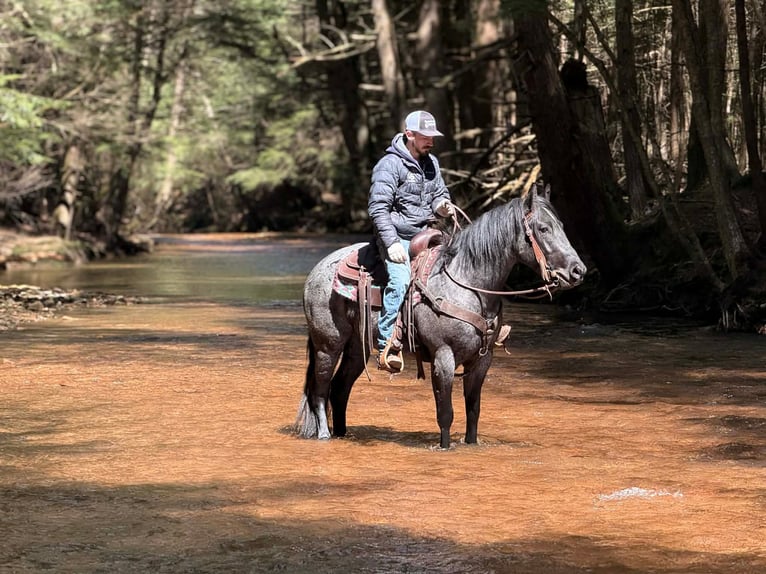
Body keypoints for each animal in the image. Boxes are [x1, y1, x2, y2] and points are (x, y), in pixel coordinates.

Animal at [294, 182, 586, 449]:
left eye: (561, 225)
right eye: (543, 228)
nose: (578, 271)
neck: (467, 283)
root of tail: (318, 269)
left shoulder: (482, 360)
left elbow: (473, 412)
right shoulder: (443, 357)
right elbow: (445, 414)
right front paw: (444, 447)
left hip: (357, 347)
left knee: (340, 389)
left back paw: (342, 434)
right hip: (328, 344)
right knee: (320, 390)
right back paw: (324, 435)